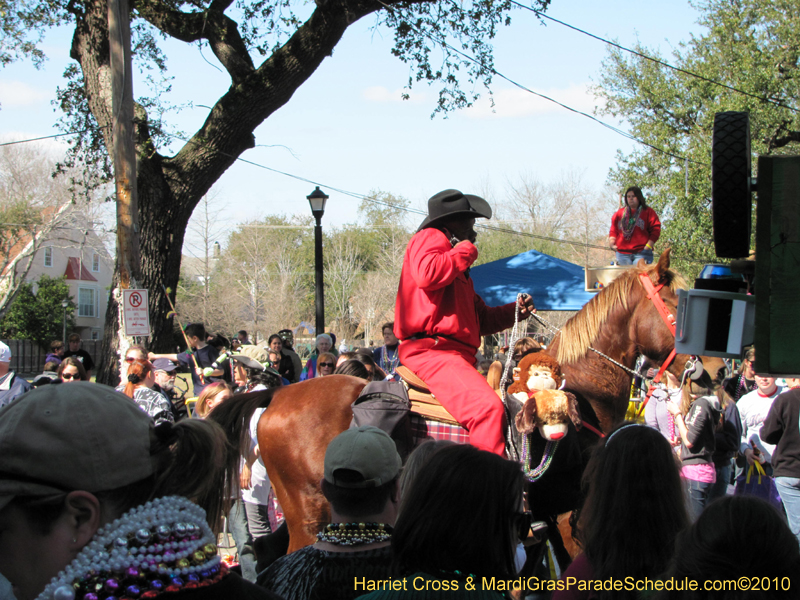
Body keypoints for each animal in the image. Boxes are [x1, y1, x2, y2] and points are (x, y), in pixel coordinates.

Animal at [211, 248, 724, 552]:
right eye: (681, 306)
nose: (714, 371)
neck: (576, 390)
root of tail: (276, 395)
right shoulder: (567, 512)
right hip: (310, 517)